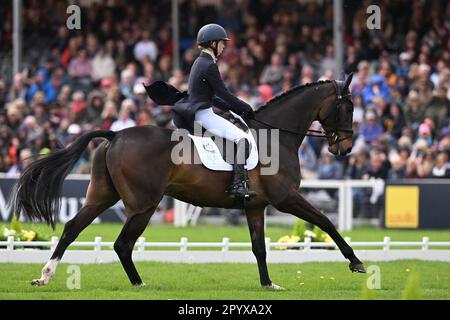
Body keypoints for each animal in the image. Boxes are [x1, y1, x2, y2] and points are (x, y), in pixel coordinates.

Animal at [7, 74, 366, 288]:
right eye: (347, 106)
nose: (345, 148)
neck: (276, 137)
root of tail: (115, 134)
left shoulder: (256, 206)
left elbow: (259, 247)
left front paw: (268, 284)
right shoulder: (286, 198)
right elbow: (327, 223)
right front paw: (357, 263)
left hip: (102, 196)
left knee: (72, 228)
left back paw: (46, 276)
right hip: (144, 204)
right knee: (122, 243)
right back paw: (139, 285)